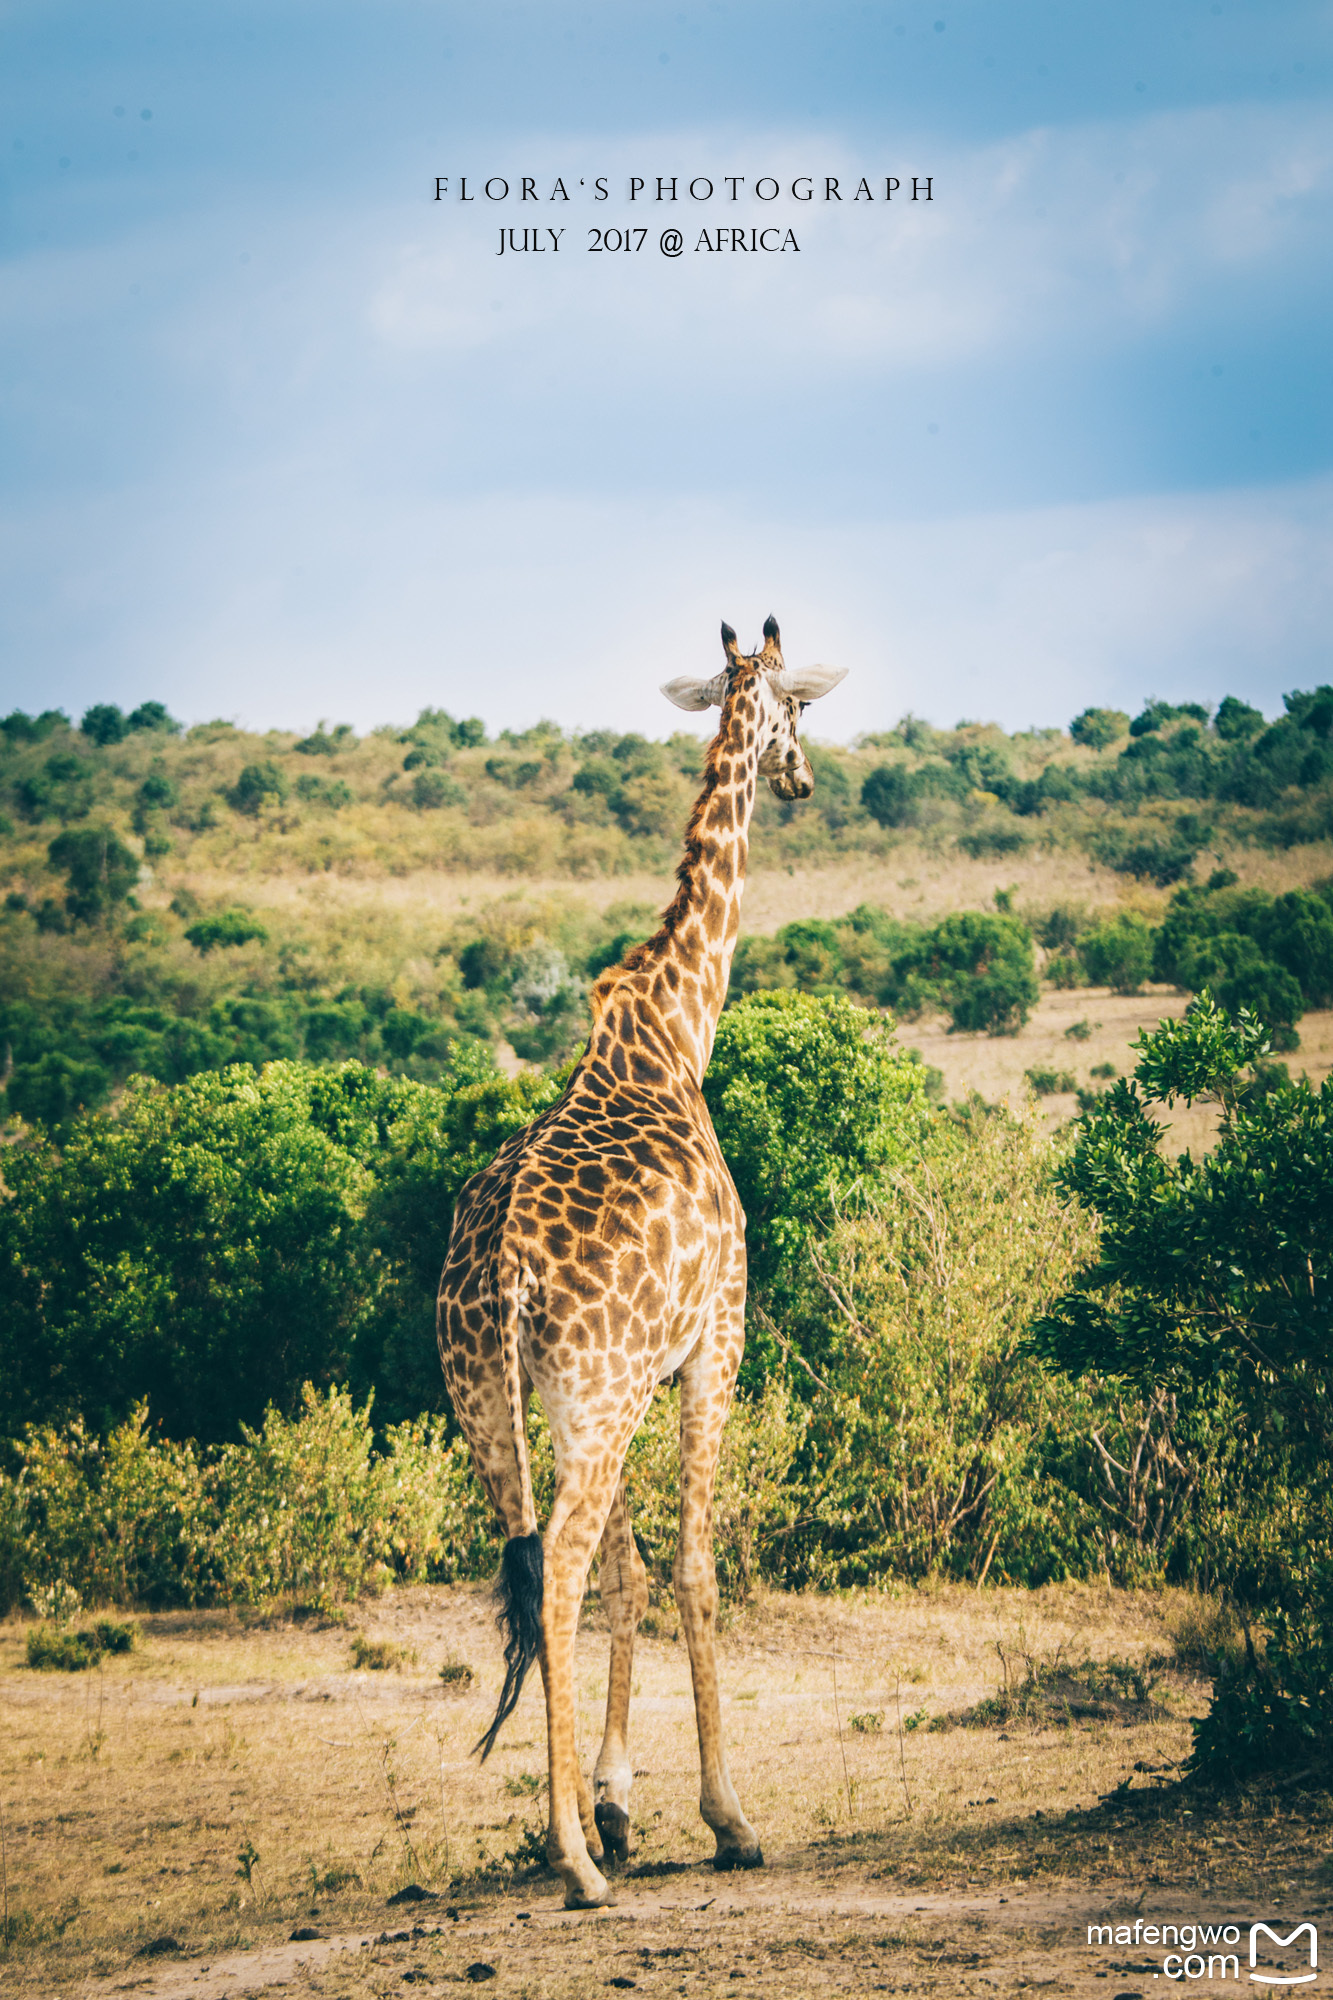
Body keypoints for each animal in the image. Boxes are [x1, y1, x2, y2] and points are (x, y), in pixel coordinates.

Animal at [440, 612, 844, 1904]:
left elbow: (631, 1569)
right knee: (562, 1567)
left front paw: (618, 1798)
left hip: (498, 1403)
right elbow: (693, 1565)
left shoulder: (597, 1391)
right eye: (796, 707)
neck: (677, 1025)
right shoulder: (715, 1337)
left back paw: (575, 1834)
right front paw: (726, 1816)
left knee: (543, 1568)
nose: (801, 776)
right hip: (603, 1388)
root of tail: (504, 1273)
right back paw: (573, 1863)